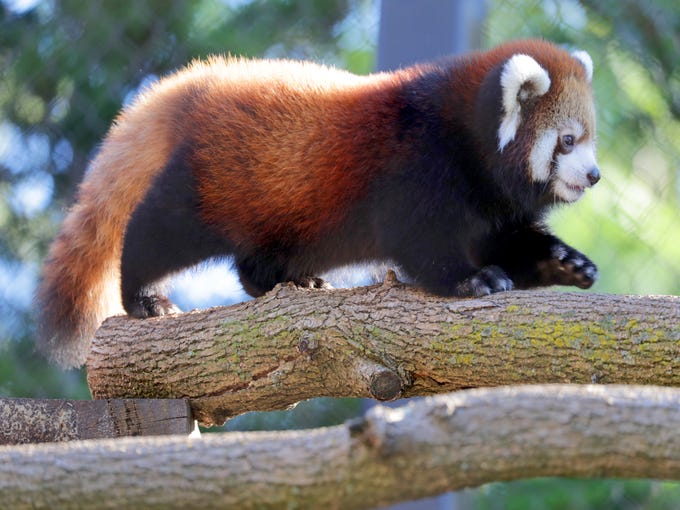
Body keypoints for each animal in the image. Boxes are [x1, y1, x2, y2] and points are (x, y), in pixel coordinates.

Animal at [37, 39, 600, 366]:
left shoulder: (491, 206)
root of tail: (202, 84)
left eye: (589, 140)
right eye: (568, 141)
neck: (465, 140)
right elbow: (423, 246)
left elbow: (509, 242)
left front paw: (564, 262)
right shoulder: (416, 167)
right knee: (157, 230)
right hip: (215, 184)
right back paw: (145, 296)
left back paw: (289, 280)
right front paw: (470, 280)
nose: (594, 176)